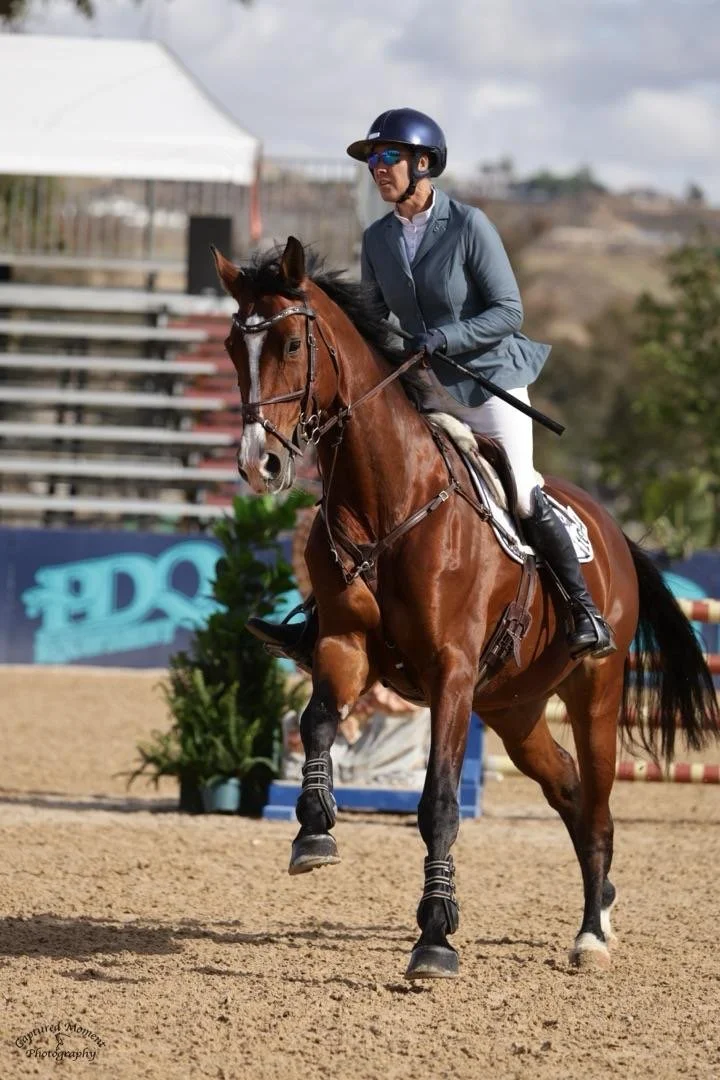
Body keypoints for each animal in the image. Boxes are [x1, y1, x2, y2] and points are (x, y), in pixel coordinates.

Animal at [214, 237, 719, 980]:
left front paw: (435, 938)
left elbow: (440, 805)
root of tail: (611, 528)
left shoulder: (451, 672)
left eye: (291, 343)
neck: (388, 500)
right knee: (569, 790)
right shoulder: (345, 646)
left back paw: (591, 934)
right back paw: (602, 903)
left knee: (597, 802)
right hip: (514, 706)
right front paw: (314, 829)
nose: (260, 466)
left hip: (595, 690)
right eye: (231, 346)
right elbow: (316, 722)